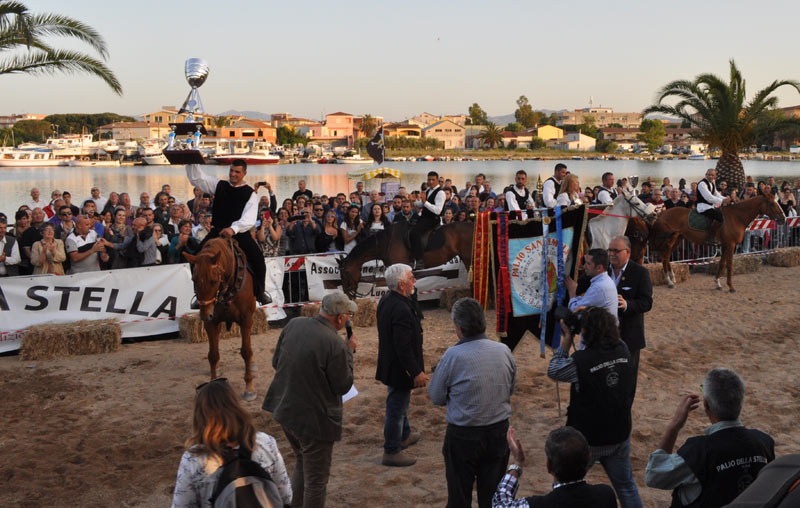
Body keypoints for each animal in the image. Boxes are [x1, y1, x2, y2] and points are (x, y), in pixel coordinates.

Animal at [183, 238, 258, 400]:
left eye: (213, 281)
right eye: (194, 279)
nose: (204, 315)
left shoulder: (246, 320)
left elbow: (246, 351)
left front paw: (249, 388)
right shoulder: (211, 322)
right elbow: (213, 355)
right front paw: (213, 383)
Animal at [648, 190, 784, 292]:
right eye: (772, 204)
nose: (783, 218)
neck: (736, 217)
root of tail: (661, 213)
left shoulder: (725, 245)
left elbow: (722, 263)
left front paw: (718, 283)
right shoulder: (731, 245)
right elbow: (729, 265)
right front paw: (731, 286)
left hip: (677, 239)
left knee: (667, 257)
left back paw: (672, 278)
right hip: (670, 240)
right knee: (664, 257)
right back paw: (669, 281)